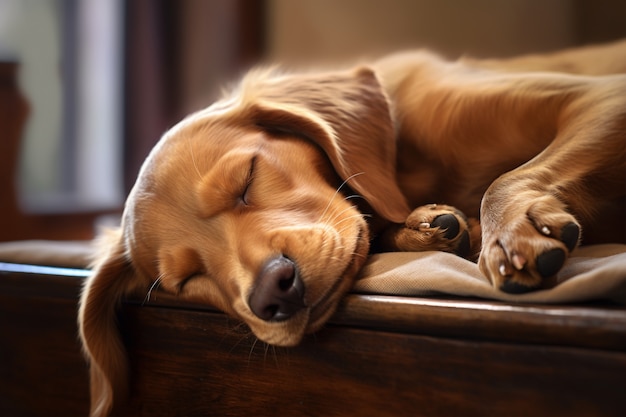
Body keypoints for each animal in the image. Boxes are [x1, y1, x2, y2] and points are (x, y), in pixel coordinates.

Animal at [78, 39, 624, 416]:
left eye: (246, 179)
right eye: (188, 280)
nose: (274, 293)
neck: (407, 165)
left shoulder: (604, 98)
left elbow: (504, 180)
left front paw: (510, 232)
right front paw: (430, 226)